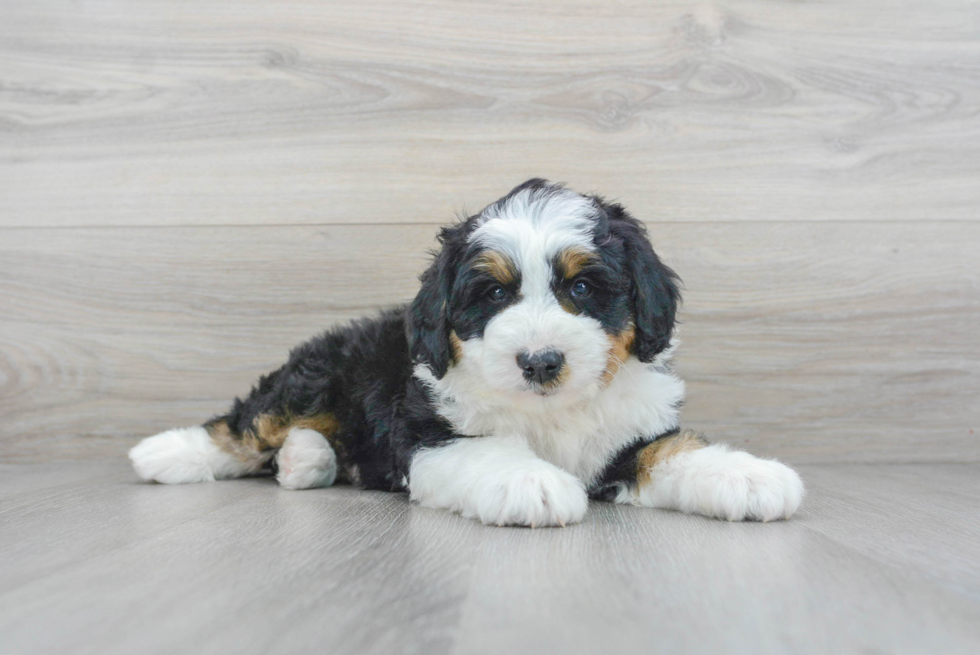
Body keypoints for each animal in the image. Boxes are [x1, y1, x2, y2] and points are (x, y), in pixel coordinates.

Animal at [130, 178, 804, 528]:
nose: (540, 361)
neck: (551, 412)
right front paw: (534, 484)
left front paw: (747, 475)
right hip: (313, 376)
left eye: (583, 288)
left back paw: (307, 460)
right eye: (494, 294)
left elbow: (672, 451)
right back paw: (167, 452)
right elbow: (488, 451)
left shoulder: (629, 436)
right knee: (248, 425)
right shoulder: (431, 433)